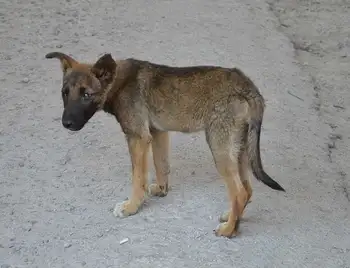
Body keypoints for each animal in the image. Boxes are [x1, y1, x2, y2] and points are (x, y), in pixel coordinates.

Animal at [44, 51, 284, 238]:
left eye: (86, 94)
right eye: (65, 93)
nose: (66, 123)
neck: (118, 82)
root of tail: (249, 88)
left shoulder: (137, 137)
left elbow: (137, 177)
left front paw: (132, 206)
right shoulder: (157, 132)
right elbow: (161, 164)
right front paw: (161, 190)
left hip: (220, 148)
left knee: (240, 192)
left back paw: (228, 231)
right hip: (239, 148)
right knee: (247, 189)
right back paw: (233, 220)